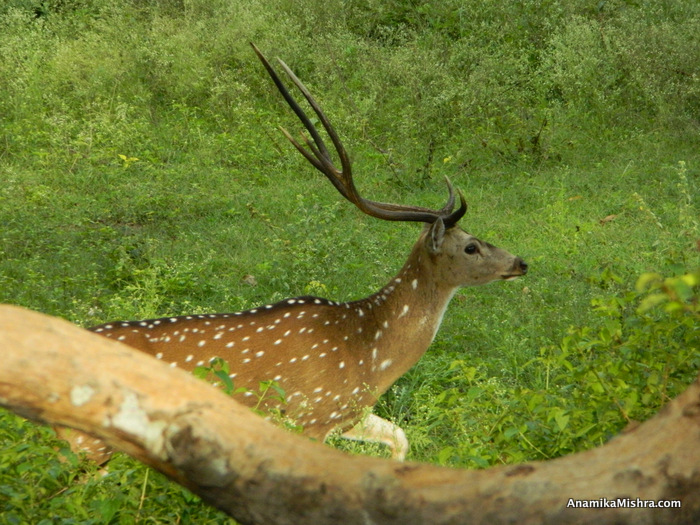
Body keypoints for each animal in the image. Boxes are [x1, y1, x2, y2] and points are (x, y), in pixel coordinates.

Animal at [57, 45, 524, 462]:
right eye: (471, 246)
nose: (521, 262)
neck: (370, 358)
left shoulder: (349, 413)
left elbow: (401, 439)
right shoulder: (310, 412)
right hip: (87, 442)